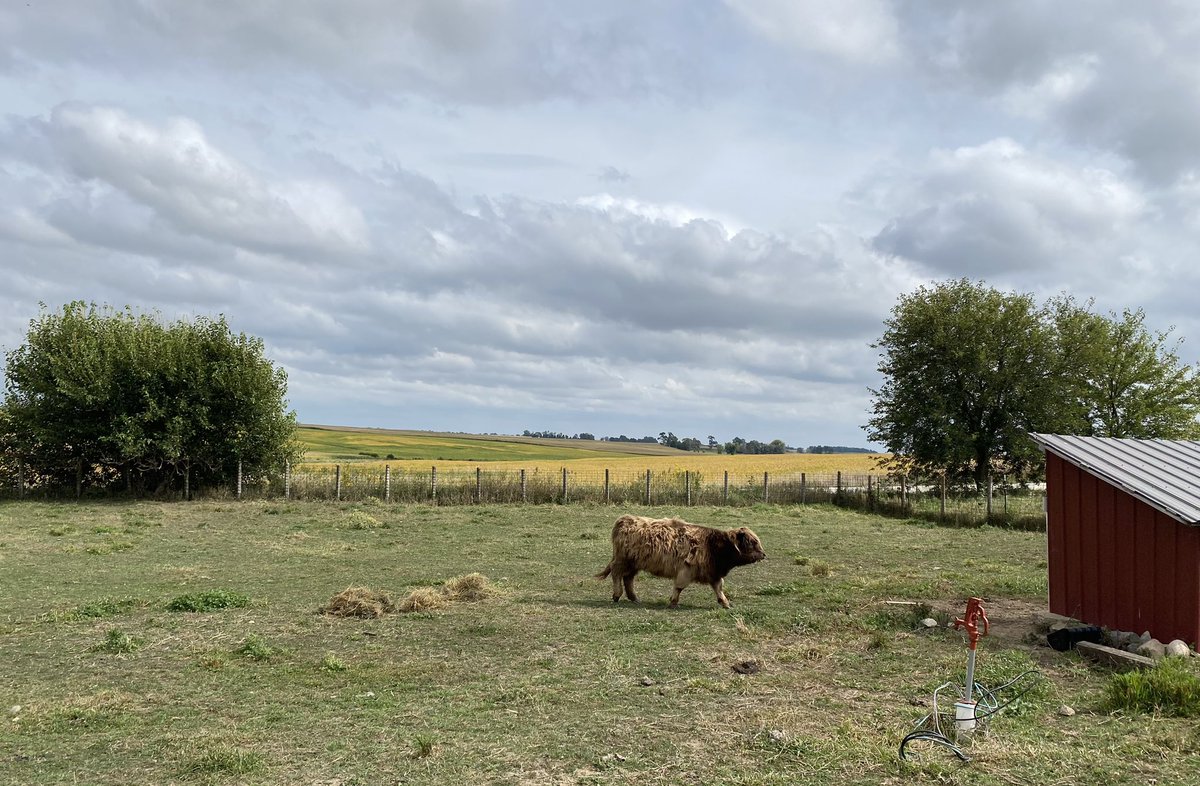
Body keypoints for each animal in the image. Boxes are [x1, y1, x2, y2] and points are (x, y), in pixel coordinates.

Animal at [595, 514, 766, 608]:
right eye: (752, 542)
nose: (763, 554)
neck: (713, 546)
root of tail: (624, 520)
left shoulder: (714, 573)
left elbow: (719, 588)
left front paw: (725, 603)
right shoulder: (686, 571)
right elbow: (679, 587)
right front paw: (672, 602)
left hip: (634, 563)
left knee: (628, 578)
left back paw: (634, 598)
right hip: (622, 560)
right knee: (617, 574)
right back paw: (617, 595)